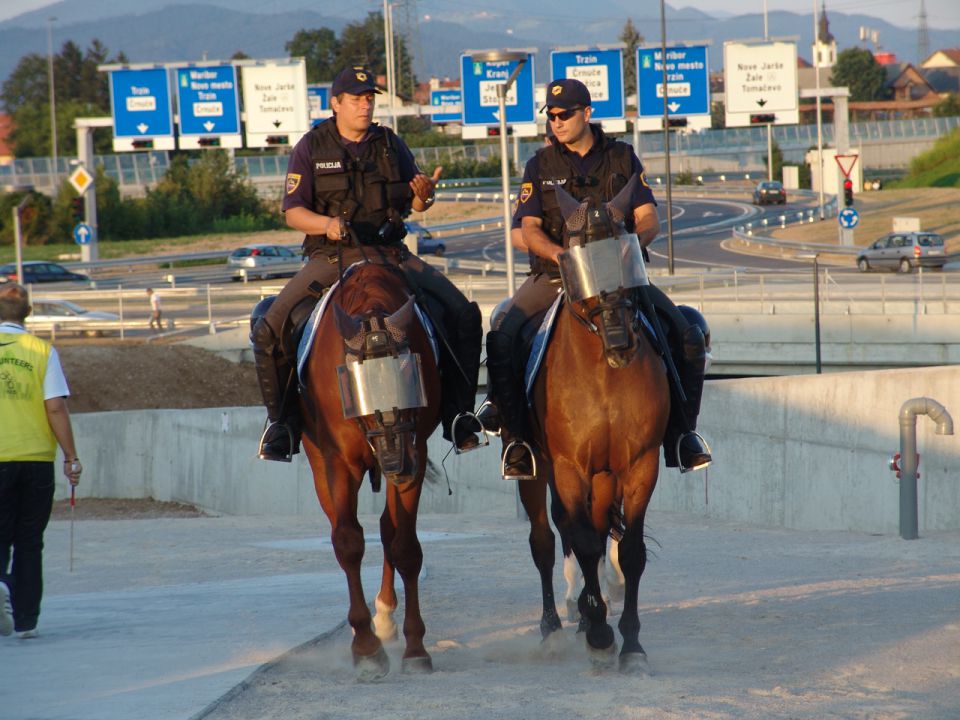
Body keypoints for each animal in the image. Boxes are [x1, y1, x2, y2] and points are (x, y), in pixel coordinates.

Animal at [300, 258, 442, 680]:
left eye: (411, 377)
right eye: (358, 389)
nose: (396, 462)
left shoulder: (416, 449)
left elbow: (405, 546)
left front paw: (415, 647)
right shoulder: (339, 463)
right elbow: (348, 542)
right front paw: (365, 648)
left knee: (388, 529)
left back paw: (386, 615)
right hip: (320, 463)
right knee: (341, 527)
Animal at [516, 183, 668, 672]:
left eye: (626, 252)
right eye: (579, 257)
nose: (621, 342)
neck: (604, 374)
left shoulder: (640, 466)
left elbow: (630, 551)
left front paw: (631, 644)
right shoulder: (568, 468)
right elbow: (579, 541)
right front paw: (601, 635)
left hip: (604, 476)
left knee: (599, 529)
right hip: (536, 471)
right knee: (546, 540)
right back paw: (555, 627)